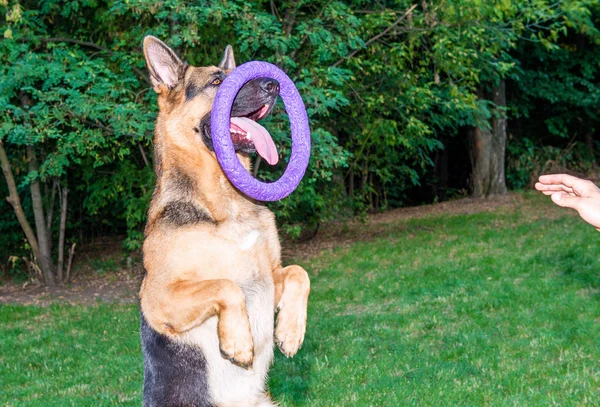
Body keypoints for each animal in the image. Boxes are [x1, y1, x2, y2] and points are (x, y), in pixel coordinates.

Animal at [139, 35, 312, 407]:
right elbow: (225, 286)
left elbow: (298, 273)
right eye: (217, 82)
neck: (225, 200)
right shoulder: (159, 297)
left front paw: (291, 331)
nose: (273, 84)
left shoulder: (268, 278)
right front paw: (239, 342)